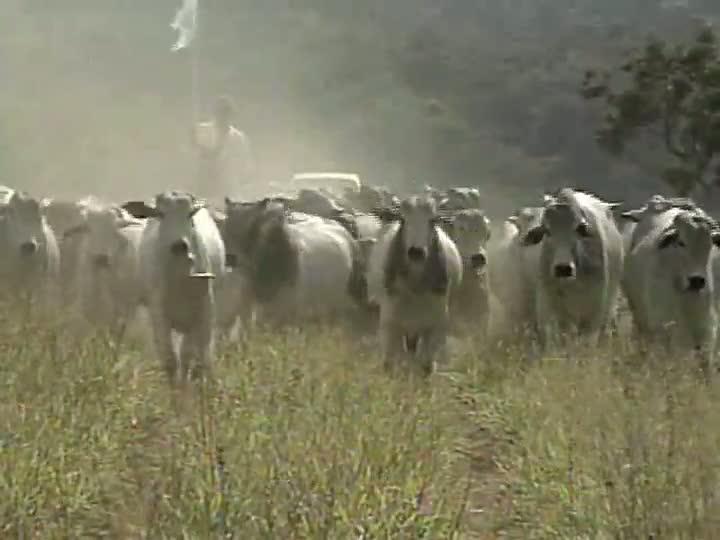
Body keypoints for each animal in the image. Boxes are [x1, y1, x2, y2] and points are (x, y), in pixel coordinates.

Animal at [121, 192, 225, 382]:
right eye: (160, 214)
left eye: (190, 214)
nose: (179, 246)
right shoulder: (158, 315)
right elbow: (169, 358)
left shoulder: (203, 312)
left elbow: (187, 354)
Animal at [368, 195, 464, 376]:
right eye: (403, 219)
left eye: (433, 220)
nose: (416, 252)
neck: (415, 287)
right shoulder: (390, 323)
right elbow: (388, 364)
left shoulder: (436, 325)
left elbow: (426, 366)